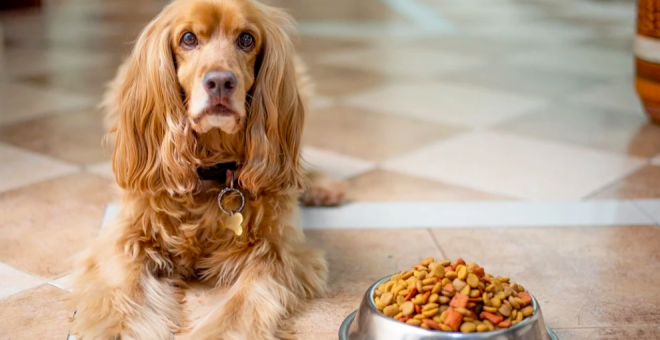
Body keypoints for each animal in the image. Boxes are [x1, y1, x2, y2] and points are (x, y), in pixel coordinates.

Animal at [69, 1, 340, 338]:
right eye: (188, 38)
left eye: (247, 39)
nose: (220, 82)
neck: (212, 169)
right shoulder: (127, 237)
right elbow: (125, 291)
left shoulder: (276, 253)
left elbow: (240, 307)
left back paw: (322, 186)